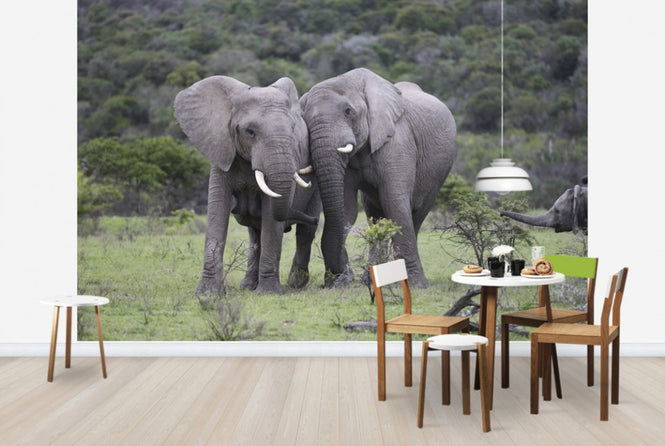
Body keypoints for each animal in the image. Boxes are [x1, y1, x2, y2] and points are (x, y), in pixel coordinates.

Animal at [174, 75, 321, 298]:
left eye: (293, 131)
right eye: (250, 132)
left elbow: (271, 217)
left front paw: (268, 293)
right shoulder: (221, 150)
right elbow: (217, 213)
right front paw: (208, 294)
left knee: (304, 232)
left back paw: (295, 283)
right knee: (254, 232)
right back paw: (248, 286)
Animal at [300, 68, 457, 288]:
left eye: (348, 111)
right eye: (304, 118)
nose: (336, 279)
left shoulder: (398, 141)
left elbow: (395, 203)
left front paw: (416, 285)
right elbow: (347, 209)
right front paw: (340, 283)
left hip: (438, 175)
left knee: (416, 214)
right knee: (376, 215)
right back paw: (371, 279)